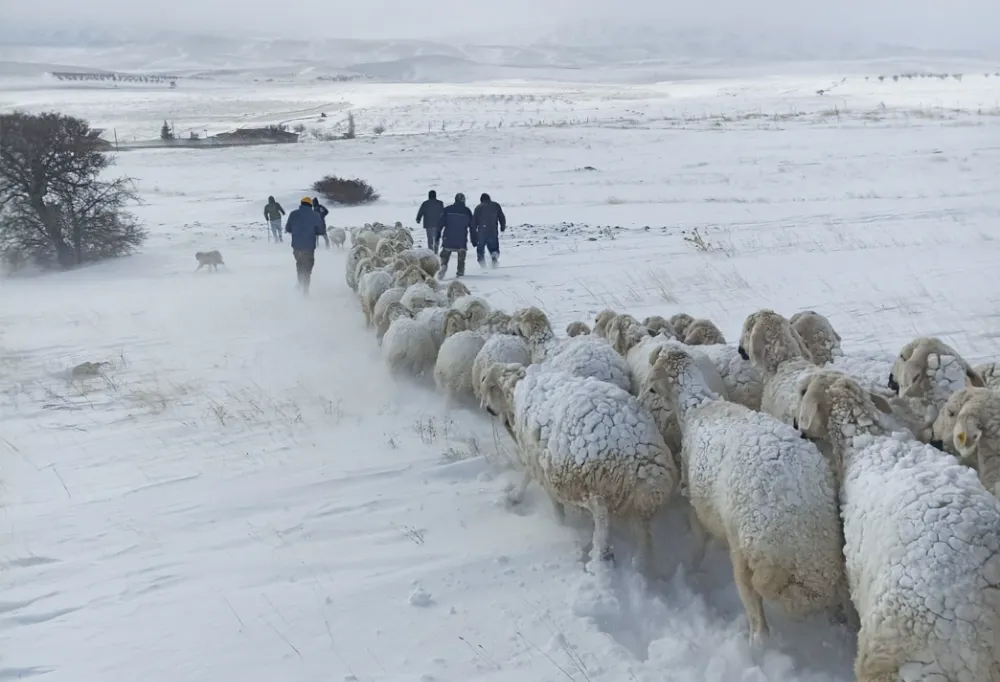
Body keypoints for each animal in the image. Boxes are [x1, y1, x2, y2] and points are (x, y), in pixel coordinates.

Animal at [478, 358, 680, 572]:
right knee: (643, 533)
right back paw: (641, 564)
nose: (487, 409)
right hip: (635, 500)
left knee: (601, 515)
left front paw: (523, 501)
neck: (517, 387)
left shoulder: (539, 462)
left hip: (591, 482)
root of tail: (644, 463)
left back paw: (599, 556)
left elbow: (539, 487)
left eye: (488, 386)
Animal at [644, 346, 848, 644]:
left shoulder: (697, 504)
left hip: (746, 556)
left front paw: (691, 568)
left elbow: (698, 542)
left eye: (652, 387)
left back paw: (753, 644)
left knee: (759, 625)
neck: (698, 406)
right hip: (829, 562)